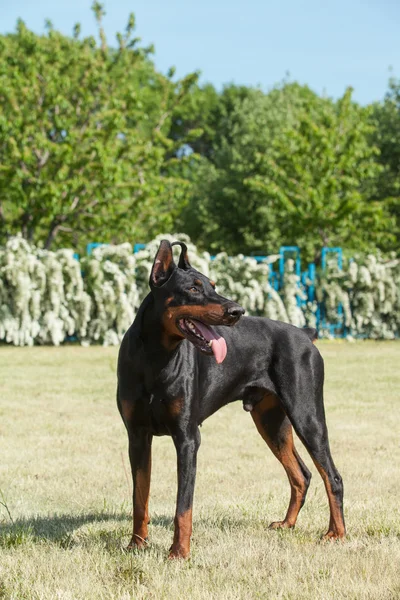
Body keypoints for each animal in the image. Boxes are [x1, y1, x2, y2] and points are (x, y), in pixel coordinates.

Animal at [117, 241, 346, 560]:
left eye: (213, 285)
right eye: (194, 288)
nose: (237, 311)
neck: (155, 357)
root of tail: (304, 334)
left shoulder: (187, 438)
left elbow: (183, 506)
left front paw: (179, 553)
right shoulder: (137, 436)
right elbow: (140, 496)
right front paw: (137, 544)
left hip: (306, 415)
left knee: (332, 477)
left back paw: (337, 533)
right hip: (271, 422)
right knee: (301, 474)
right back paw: (287, 524)